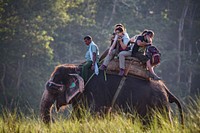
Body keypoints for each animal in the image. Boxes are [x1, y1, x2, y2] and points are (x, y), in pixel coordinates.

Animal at [39, 64, 184, 125]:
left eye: (53, 87)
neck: (77, 68)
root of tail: (166, 88)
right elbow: (78, 116)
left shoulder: (97, 93)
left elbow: (94, 115)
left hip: (158, 104)